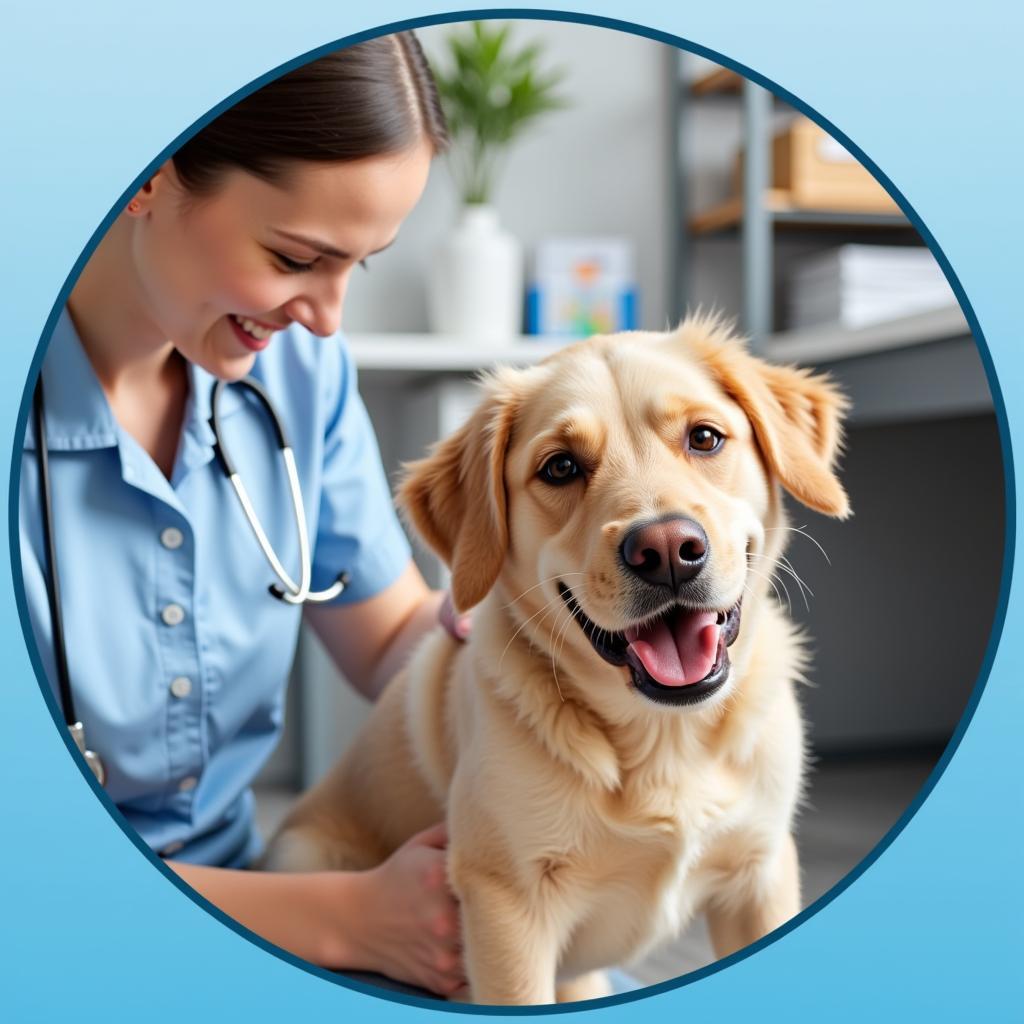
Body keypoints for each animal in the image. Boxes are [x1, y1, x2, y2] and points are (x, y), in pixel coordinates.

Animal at [266, 317, 847, 999]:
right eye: (561, 467)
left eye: (705, 438)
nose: (667, 550)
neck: (665, 741)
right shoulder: (508, 911)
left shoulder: (761, 872)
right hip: (304, 856)